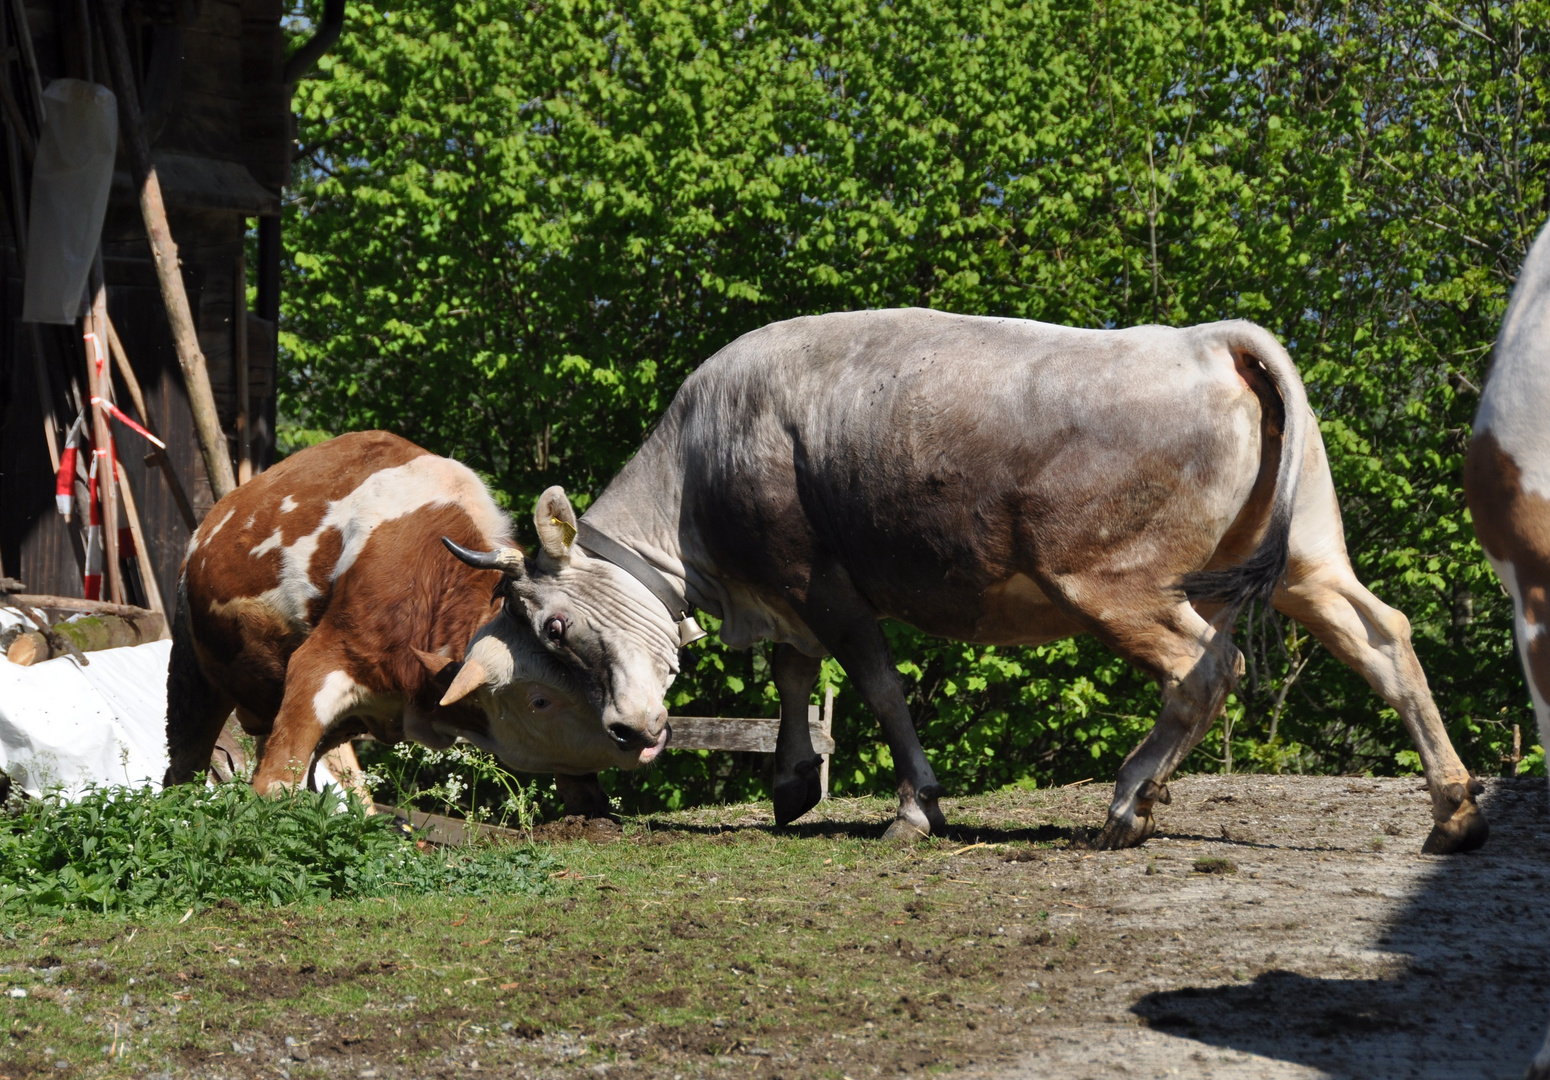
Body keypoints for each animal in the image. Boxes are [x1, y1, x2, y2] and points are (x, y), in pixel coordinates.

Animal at [165, 430, 654, 805]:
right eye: (540, 700)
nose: (645, 735)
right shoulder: (318, 663)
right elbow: (274, 784)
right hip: (192, 673)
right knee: (182, 767)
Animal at [443, 305, 1481, 849]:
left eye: (553, 628)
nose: (628, 732)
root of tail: (1211, 335)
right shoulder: (783, 593)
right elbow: (793, 674)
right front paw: (792, 782)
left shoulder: (817, 577)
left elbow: (872, 683)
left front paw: (913, 806)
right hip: (1307, 556)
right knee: (1383, 636)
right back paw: (1453, 808)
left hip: (1112, 580)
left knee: (1206, 667)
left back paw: (1129, 800)